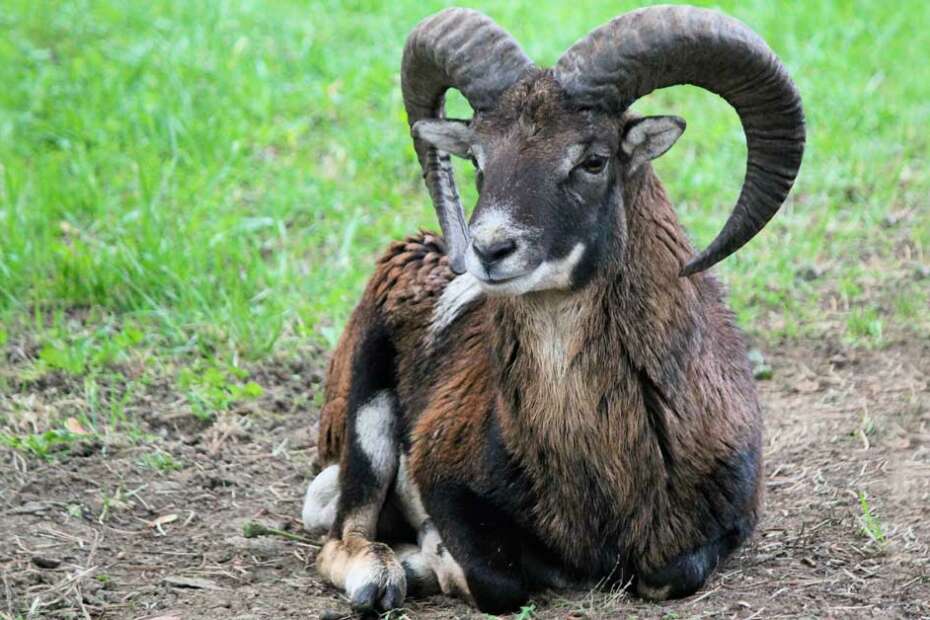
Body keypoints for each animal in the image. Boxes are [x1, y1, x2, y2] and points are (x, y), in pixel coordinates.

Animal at [302, 5, 805, 615]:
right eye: (478, 159)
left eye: (593, 160)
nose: (489, 250)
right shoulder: (442, 479)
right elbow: (497, 580)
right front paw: (435, 554)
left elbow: (669, 574)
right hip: (365, 421)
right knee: (344, 537)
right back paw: (386, 575)